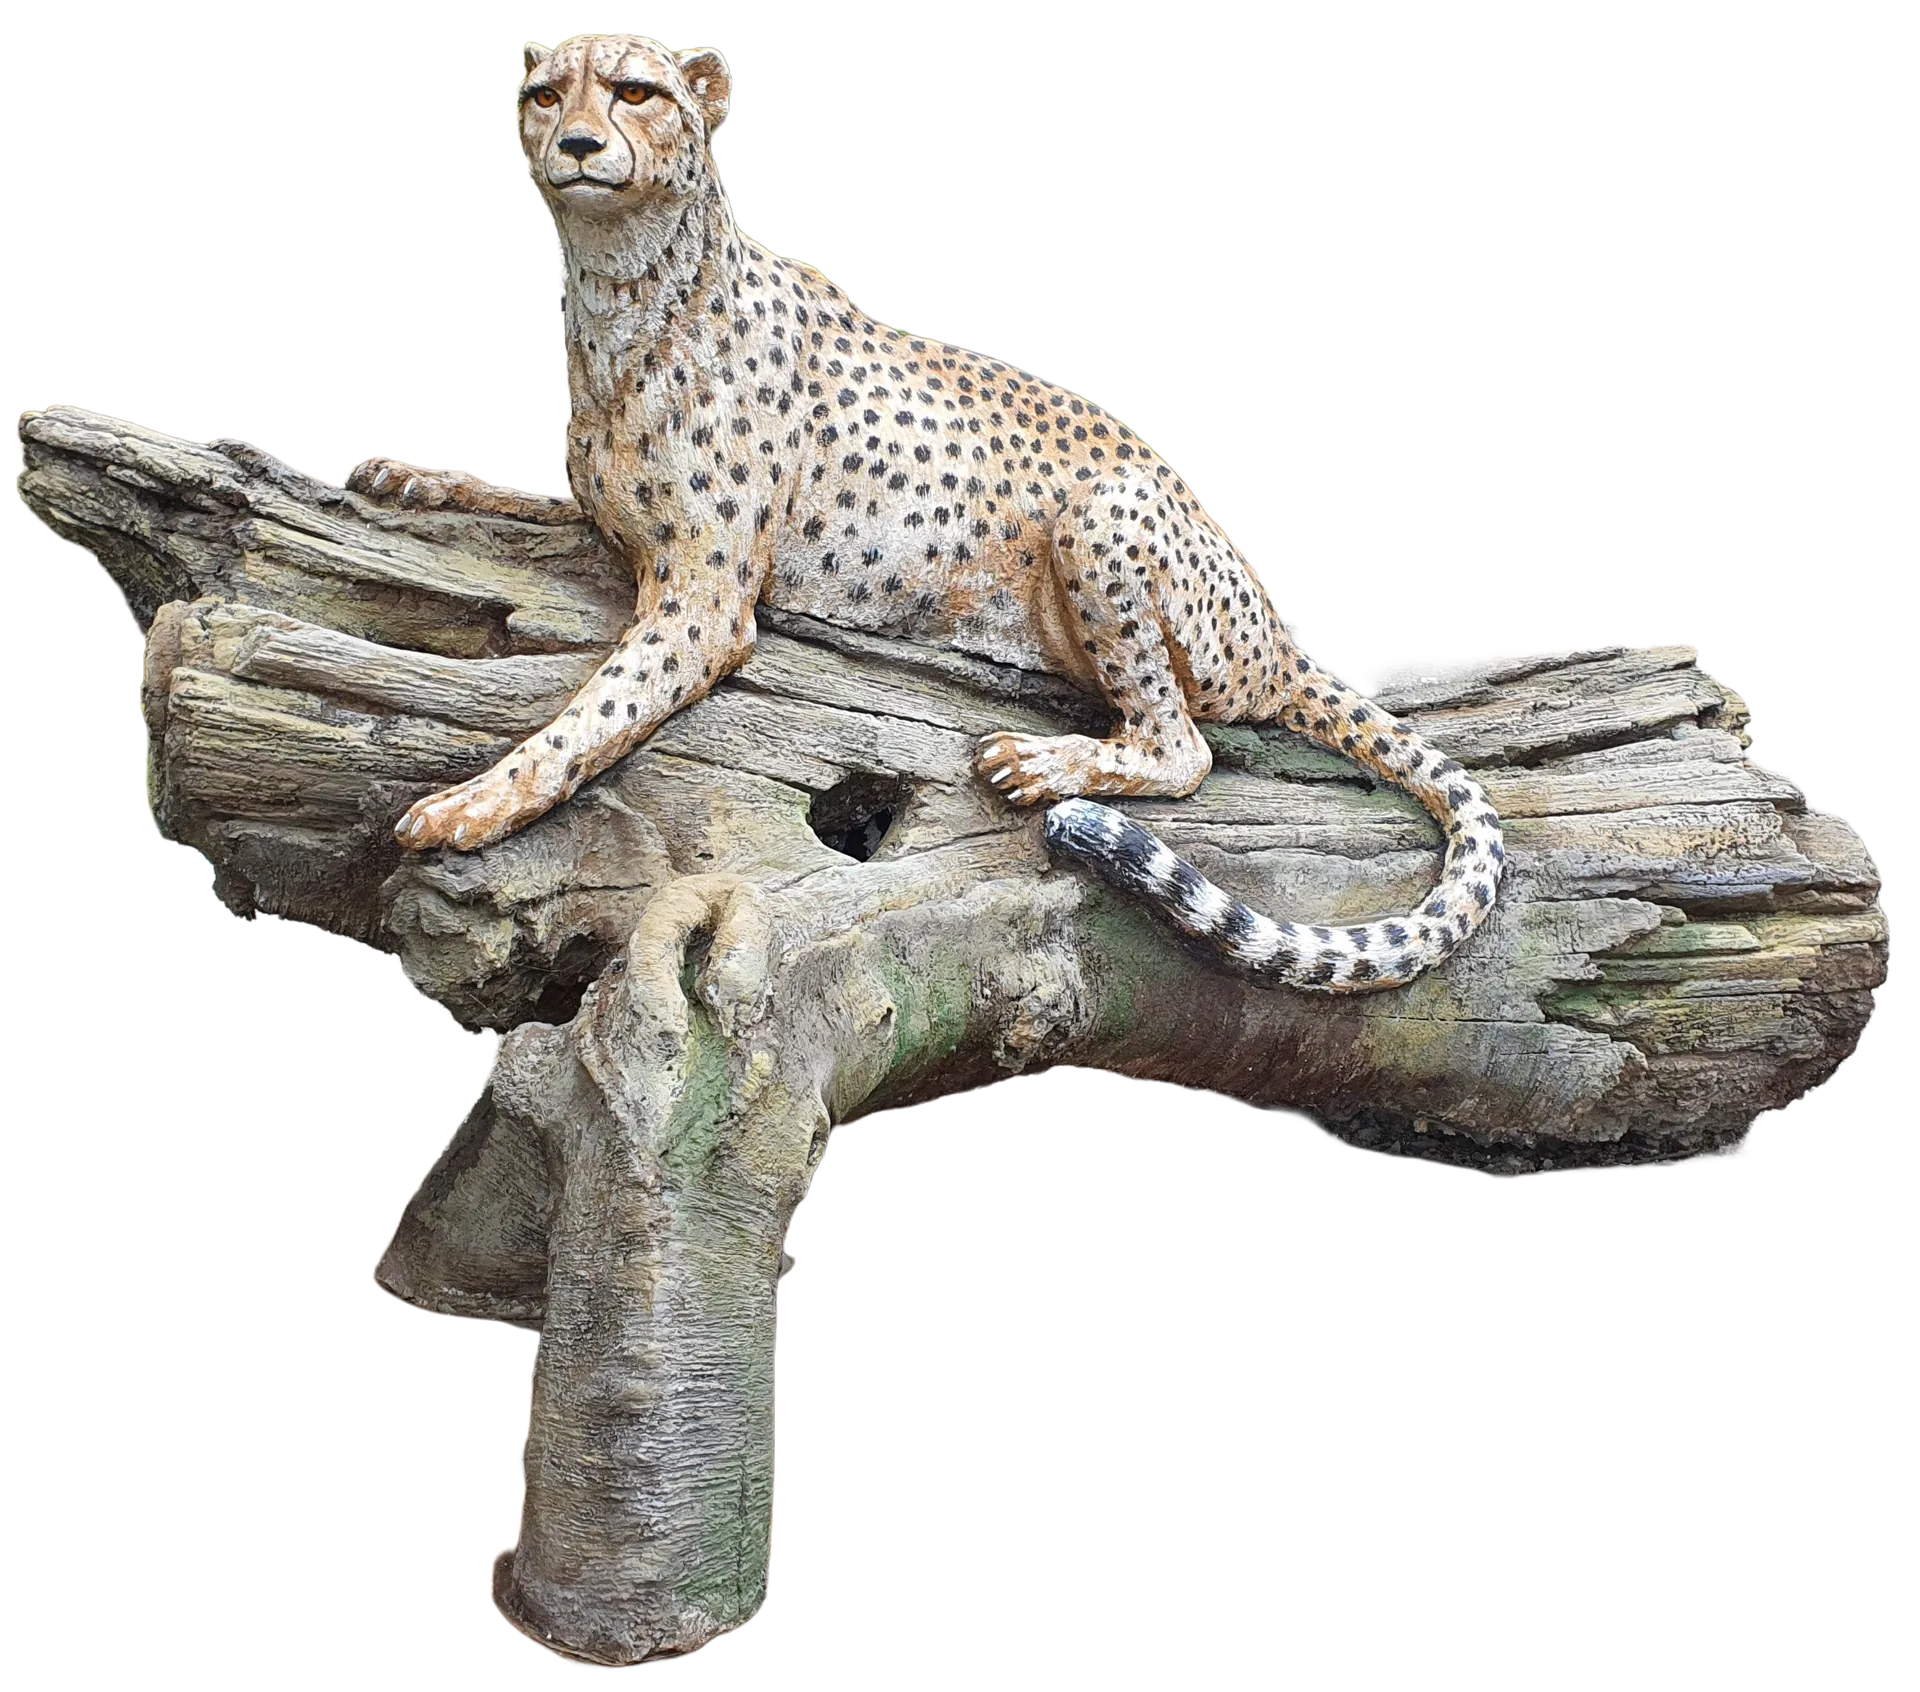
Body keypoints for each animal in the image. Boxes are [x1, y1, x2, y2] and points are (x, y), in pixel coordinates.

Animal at [356, 31, 1503, 992]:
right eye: (548, 94)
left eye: (636, 91)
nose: (580, 144)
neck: (623, 294)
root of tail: (1282, 625)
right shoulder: (618, 530)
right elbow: (524, 500)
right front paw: (408, 474)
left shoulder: (704, 601)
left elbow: (586, 720)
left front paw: (467, 806)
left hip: (1106, 517)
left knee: (1185, 745)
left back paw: (1051, 759)